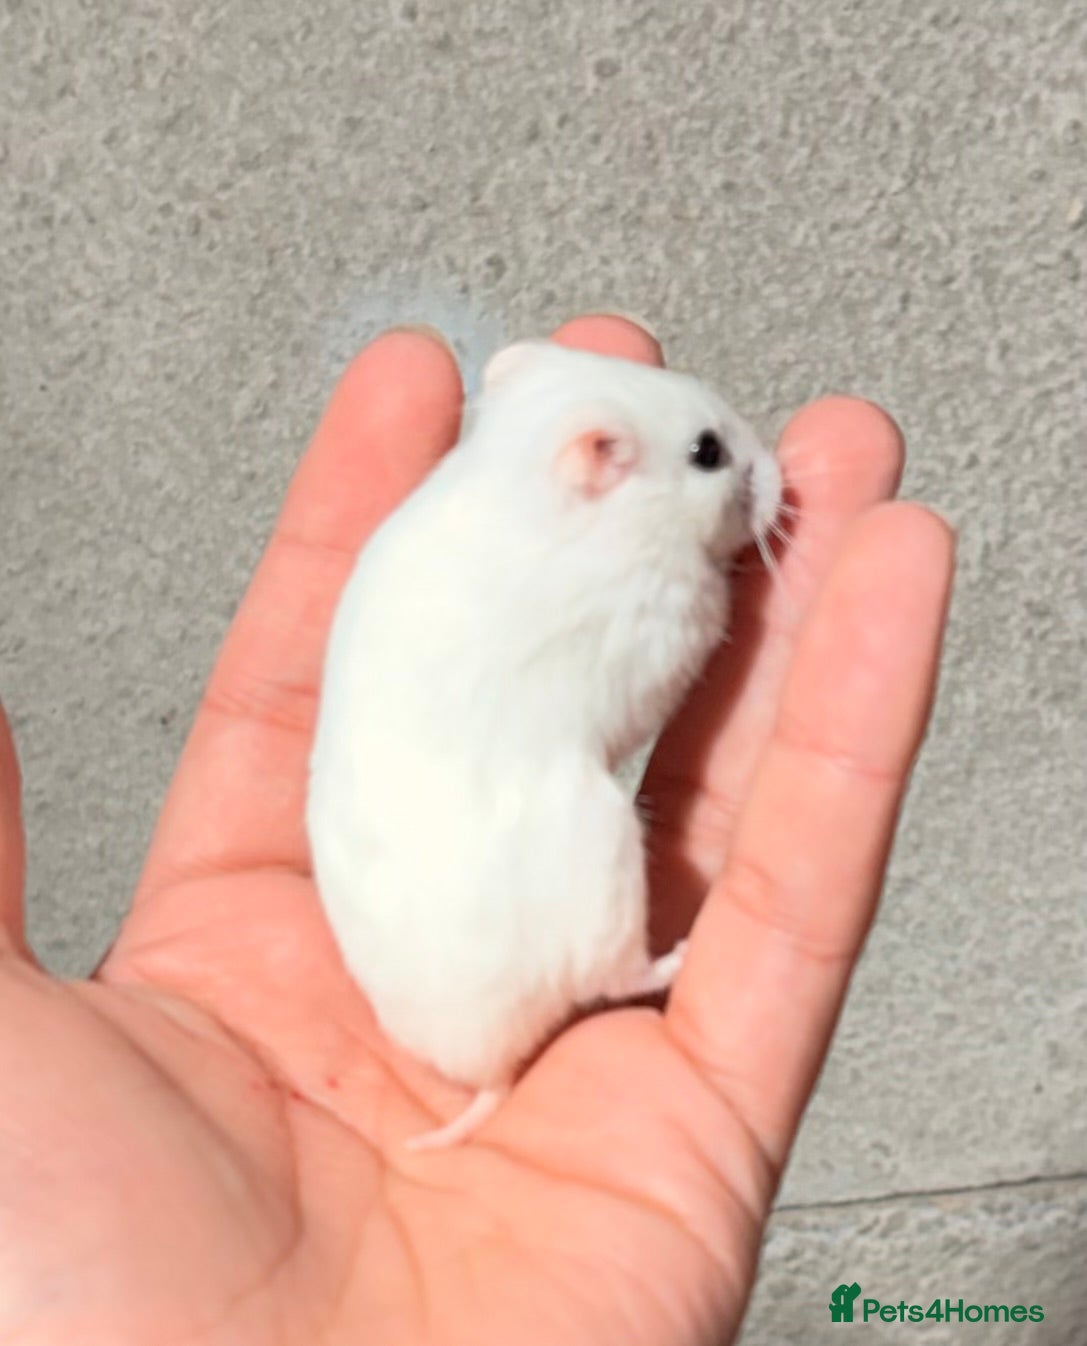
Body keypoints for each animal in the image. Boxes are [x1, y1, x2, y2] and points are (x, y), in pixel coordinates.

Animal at [306, 339, 781, 1149]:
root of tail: (490, 1064)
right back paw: (680, 955)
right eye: (707, 452)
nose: (784, 475)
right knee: (612, 976)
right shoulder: (670, 627)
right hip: (605, 858)